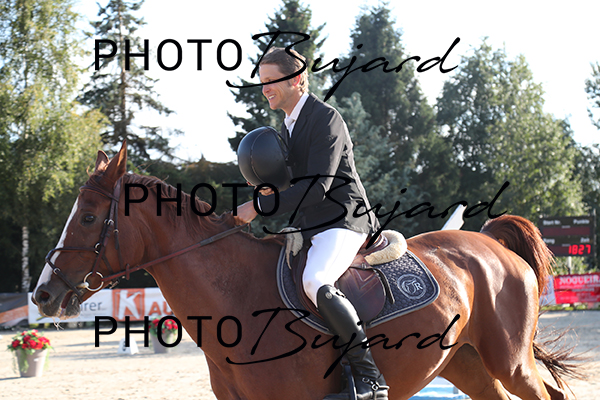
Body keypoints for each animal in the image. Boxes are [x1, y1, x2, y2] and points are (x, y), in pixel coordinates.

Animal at [32, 142, 579, 400]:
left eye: (87, 217)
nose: (42, 295)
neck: (236, 297)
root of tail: (489, 243)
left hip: (509, 360)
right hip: (465, 362)